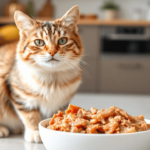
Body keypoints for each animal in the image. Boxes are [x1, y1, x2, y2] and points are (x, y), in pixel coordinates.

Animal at [0, 5, 82, 142]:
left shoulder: (63, 101)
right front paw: (34, 132)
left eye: (62, 41)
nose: (52, 52)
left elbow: (58, 113)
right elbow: (30, 116)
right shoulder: (21, 95)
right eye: (39, 42)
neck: (52, 79)